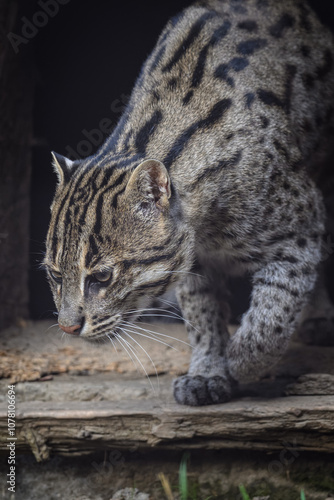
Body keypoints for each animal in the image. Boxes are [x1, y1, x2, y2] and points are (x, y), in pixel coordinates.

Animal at [44, 0, 334, 404]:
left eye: (102, 276)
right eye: (55, 275)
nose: (68, 328)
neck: (205, 229)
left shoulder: (302, 228)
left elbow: (276, 307)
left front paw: (243, 359)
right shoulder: (191, 266)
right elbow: (202, 315)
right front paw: (209, 370)